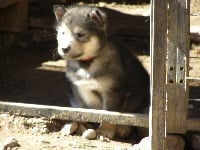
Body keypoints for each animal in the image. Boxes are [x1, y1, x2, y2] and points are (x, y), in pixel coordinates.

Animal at [54, 4, 149, 138]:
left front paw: (105, 130)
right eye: (62, 33)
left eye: (80, 34)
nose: (64, 49)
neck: (87, 63)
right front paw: (74, 124)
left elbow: (109, 114)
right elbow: (77, 110)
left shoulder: (112, 91)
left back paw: (123, 128)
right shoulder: (77, 89)